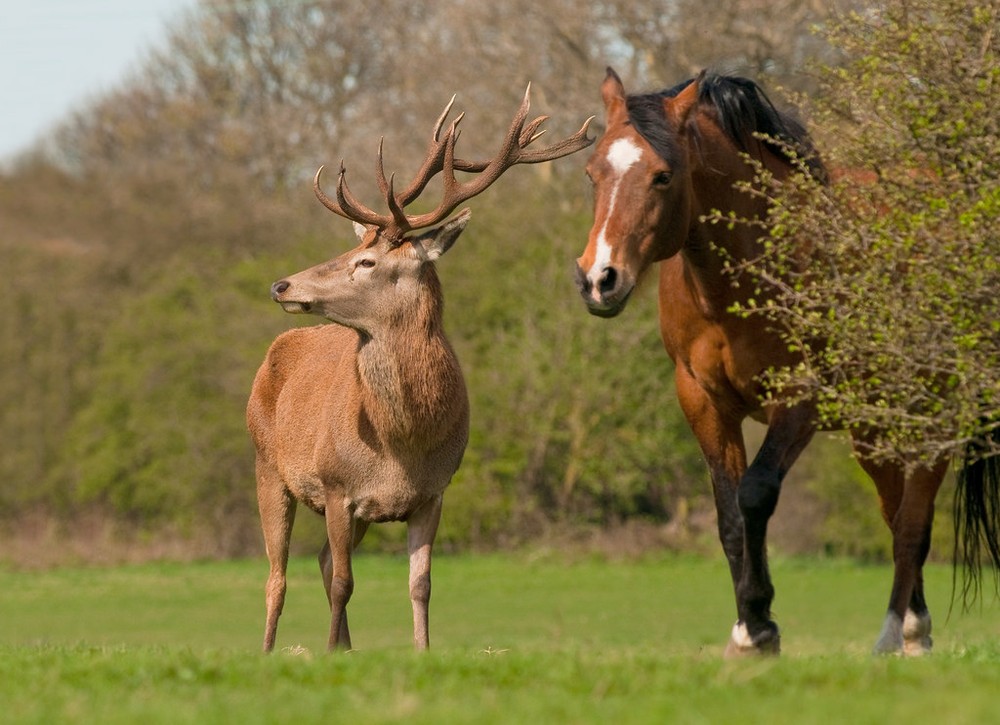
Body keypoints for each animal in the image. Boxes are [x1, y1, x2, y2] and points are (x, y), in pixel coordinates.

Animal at [248, 85, 592, 652]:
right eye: (352, 248)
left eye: (365, 262)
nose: (281, 285)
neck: (402, 443)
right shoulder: (337, 487)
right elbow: (345, 582)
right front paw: (328, 651)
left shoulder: (433, 493)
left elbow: (420, 584)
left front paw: (419, 650)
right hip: (267, 466)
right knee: (277, 574)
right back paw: (269, 650)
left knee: (318, 560)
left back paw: (343, 645)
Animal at [572, 68, 1000, 656]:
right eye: (593, 173)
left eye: (662, 176)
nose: (599, 279)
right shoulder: (701, 400)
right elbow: (729, 515)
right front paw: (745, 631)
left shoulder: (799, 398)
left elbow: (756, 494)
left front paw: (759, 624)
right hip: (875, 427)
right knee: (896, 515)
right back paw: (915, 631)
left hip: (936, 411)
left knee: (914, 522)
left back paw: (891, 635)